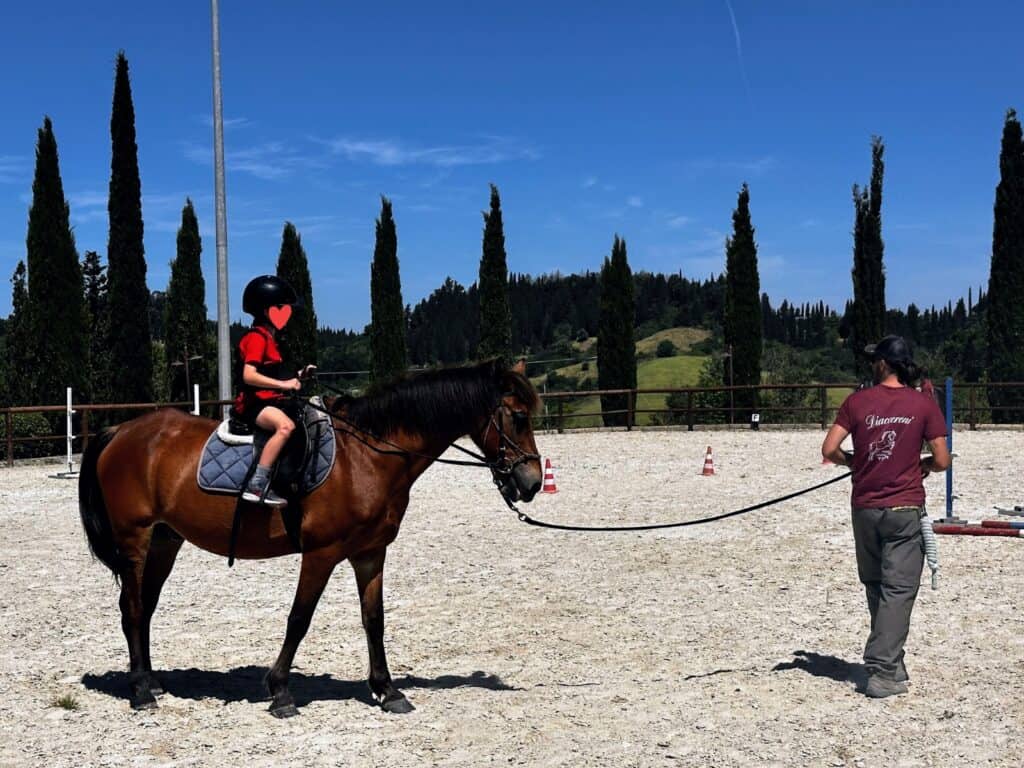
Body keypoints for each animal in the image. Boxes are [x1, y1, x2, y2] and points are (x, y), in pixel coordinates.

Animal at [77, 358, 543, 717]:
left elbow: (374, 620)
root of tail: (121, 430)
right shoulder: (321, 553)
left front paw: (387, 690)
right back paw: (140, 692)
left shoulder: (370, 553)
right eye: (519, 417)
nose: (533, 482)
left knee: (146, 607)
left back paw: (151, 681)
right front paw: (280, 690)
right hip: (135, 541)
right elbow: (299, 618)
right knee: (132, 609)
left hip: (164, 541)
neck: (367, 455)